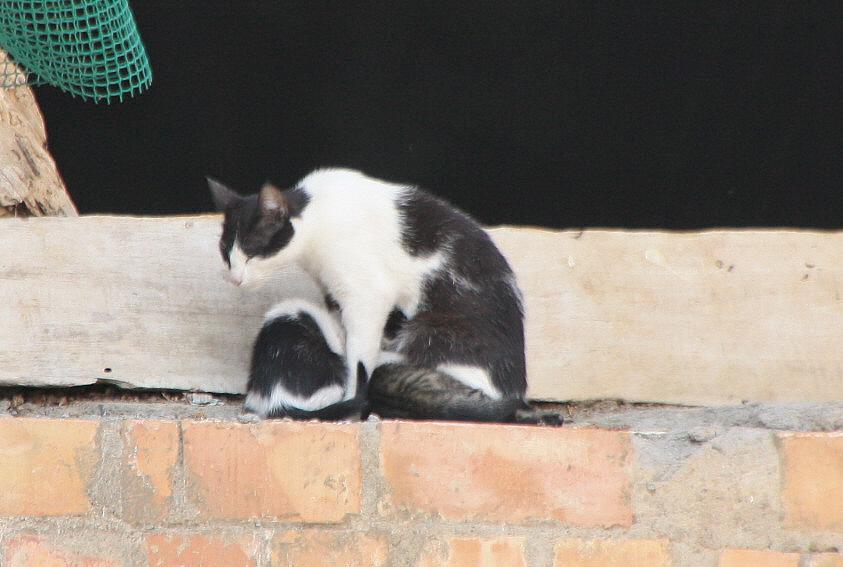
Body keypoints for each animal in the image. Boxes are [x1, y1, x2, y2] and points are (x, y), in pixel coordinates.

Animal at [210, 169, 564, 426]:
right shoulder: (334, 295)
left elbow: (358, 354)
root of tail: (515, 386)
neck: (316, 220)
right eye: (226, 253)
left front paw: (349, 402)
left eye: (252, 252)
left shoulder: (367, 295)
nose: (234, 277)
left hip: (429, 333)